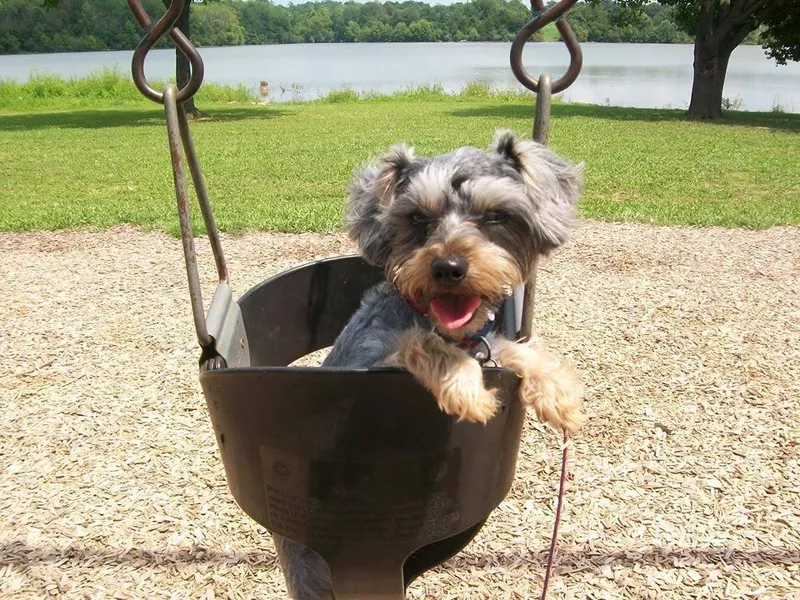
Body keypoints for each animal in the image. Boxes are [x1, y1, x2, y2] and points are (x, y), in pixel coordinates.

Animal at [276, 131, 588, 600]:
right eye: (417, 218)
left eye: (496, 216)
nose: (448, 267)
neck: (445, 326)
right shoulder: (373, 359)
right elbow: (421, 344)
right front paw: (468, 389)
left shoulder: (483, 343)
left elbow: (507, 347)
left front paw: (558, 391)